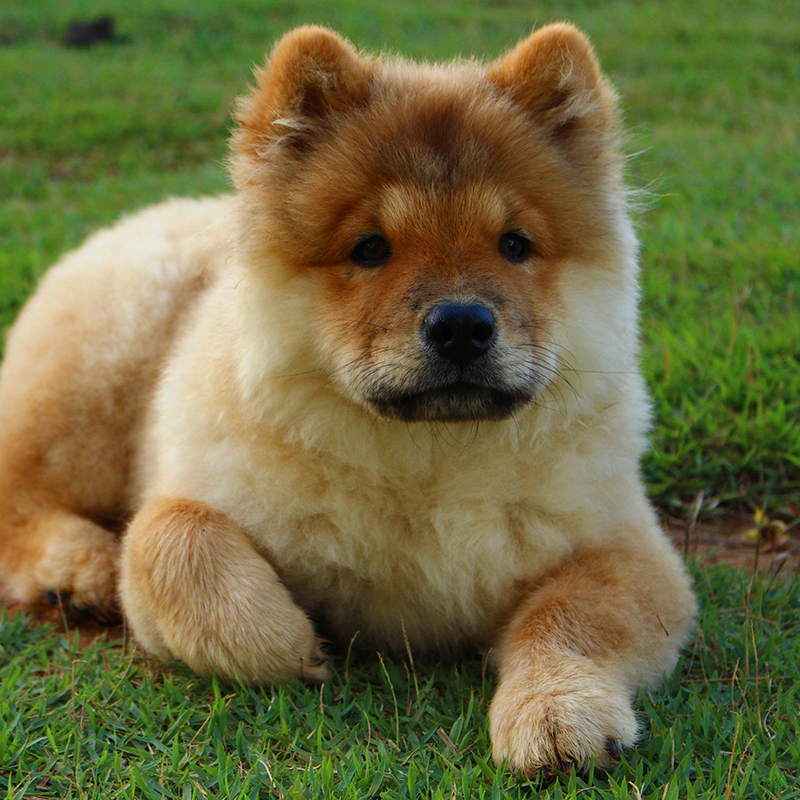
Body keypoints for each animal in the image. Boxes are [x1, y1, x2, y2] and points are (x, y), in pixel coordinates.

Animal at [0, 25, 692, 772]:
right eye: (370, 249)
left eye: (515, 245)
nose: (461, 325)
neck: (428, 463)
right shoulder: (191, 503)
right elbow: (172, 539)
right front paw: (291, 644)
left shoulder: (626, 547)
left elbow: (568, 618)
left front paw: (559, 714)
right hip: (96, 378)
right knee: (22, 496)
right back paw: (79, 569)